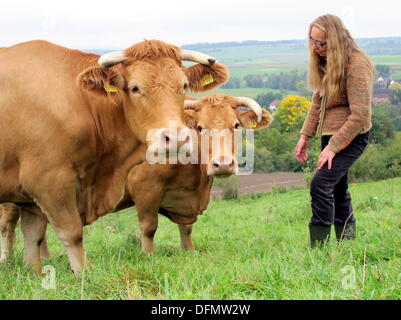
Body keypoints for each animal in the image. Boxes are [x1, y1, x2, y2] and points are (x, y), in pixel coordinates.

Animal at [0, 39, 227, 272]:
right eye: (135, 88)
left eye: (183, 85)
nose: (177, 139)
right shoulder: (49, 182)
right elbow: (73, 233)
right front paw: (84, 274)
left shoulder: (31, 201)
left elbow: (33, 239)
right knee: (7, 224)